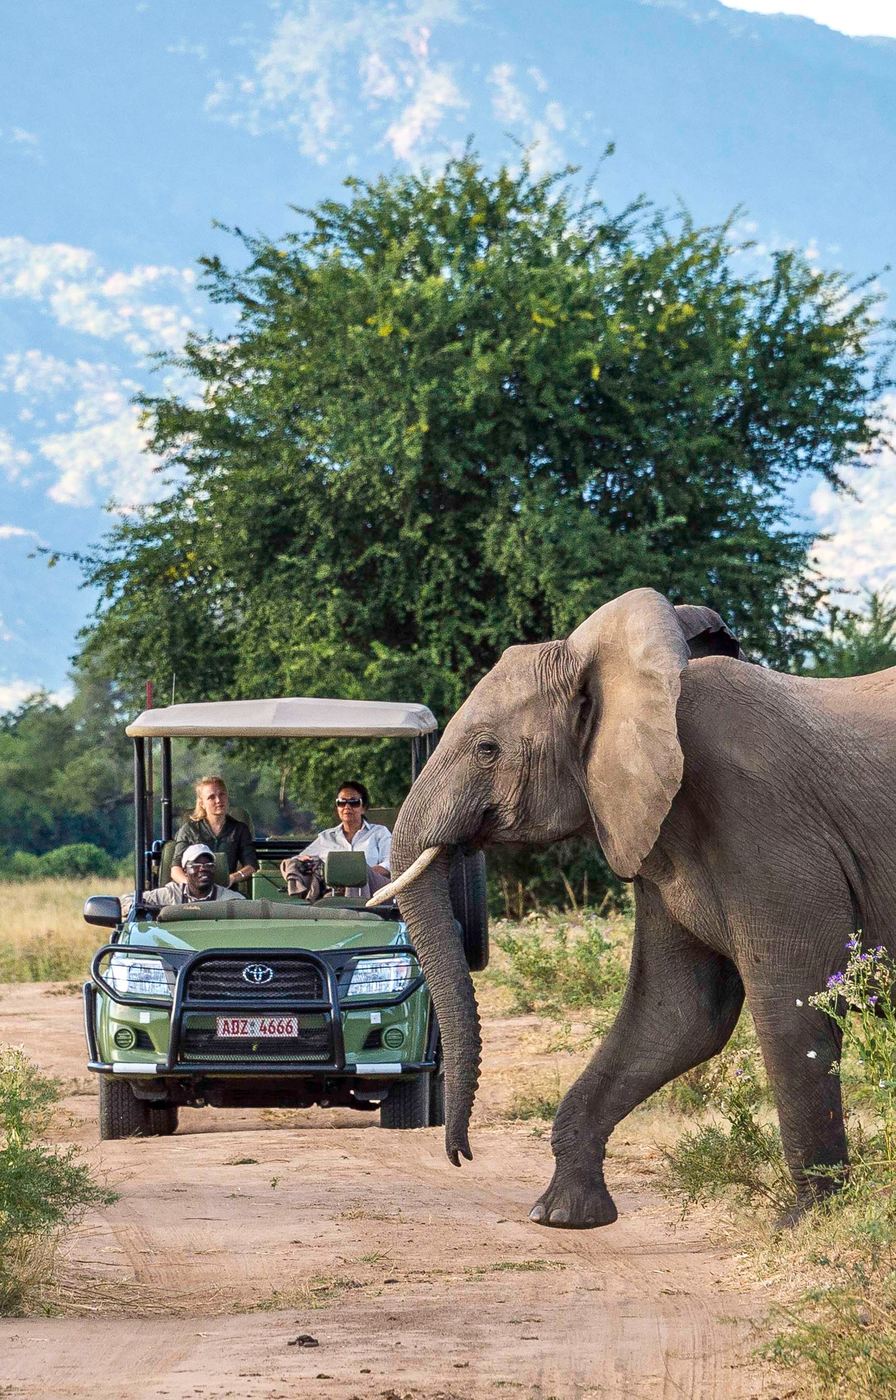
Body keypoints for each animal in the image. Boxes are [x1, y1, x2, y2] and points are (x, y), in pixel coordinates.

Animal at [372, 586, 896, 1228]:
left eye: (487, 750)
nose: (460, 1155)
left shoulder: (765, 821)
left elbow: (795, 1002)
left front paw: (802, 1224)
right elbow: (677, 1015)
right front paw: (563, 1216)